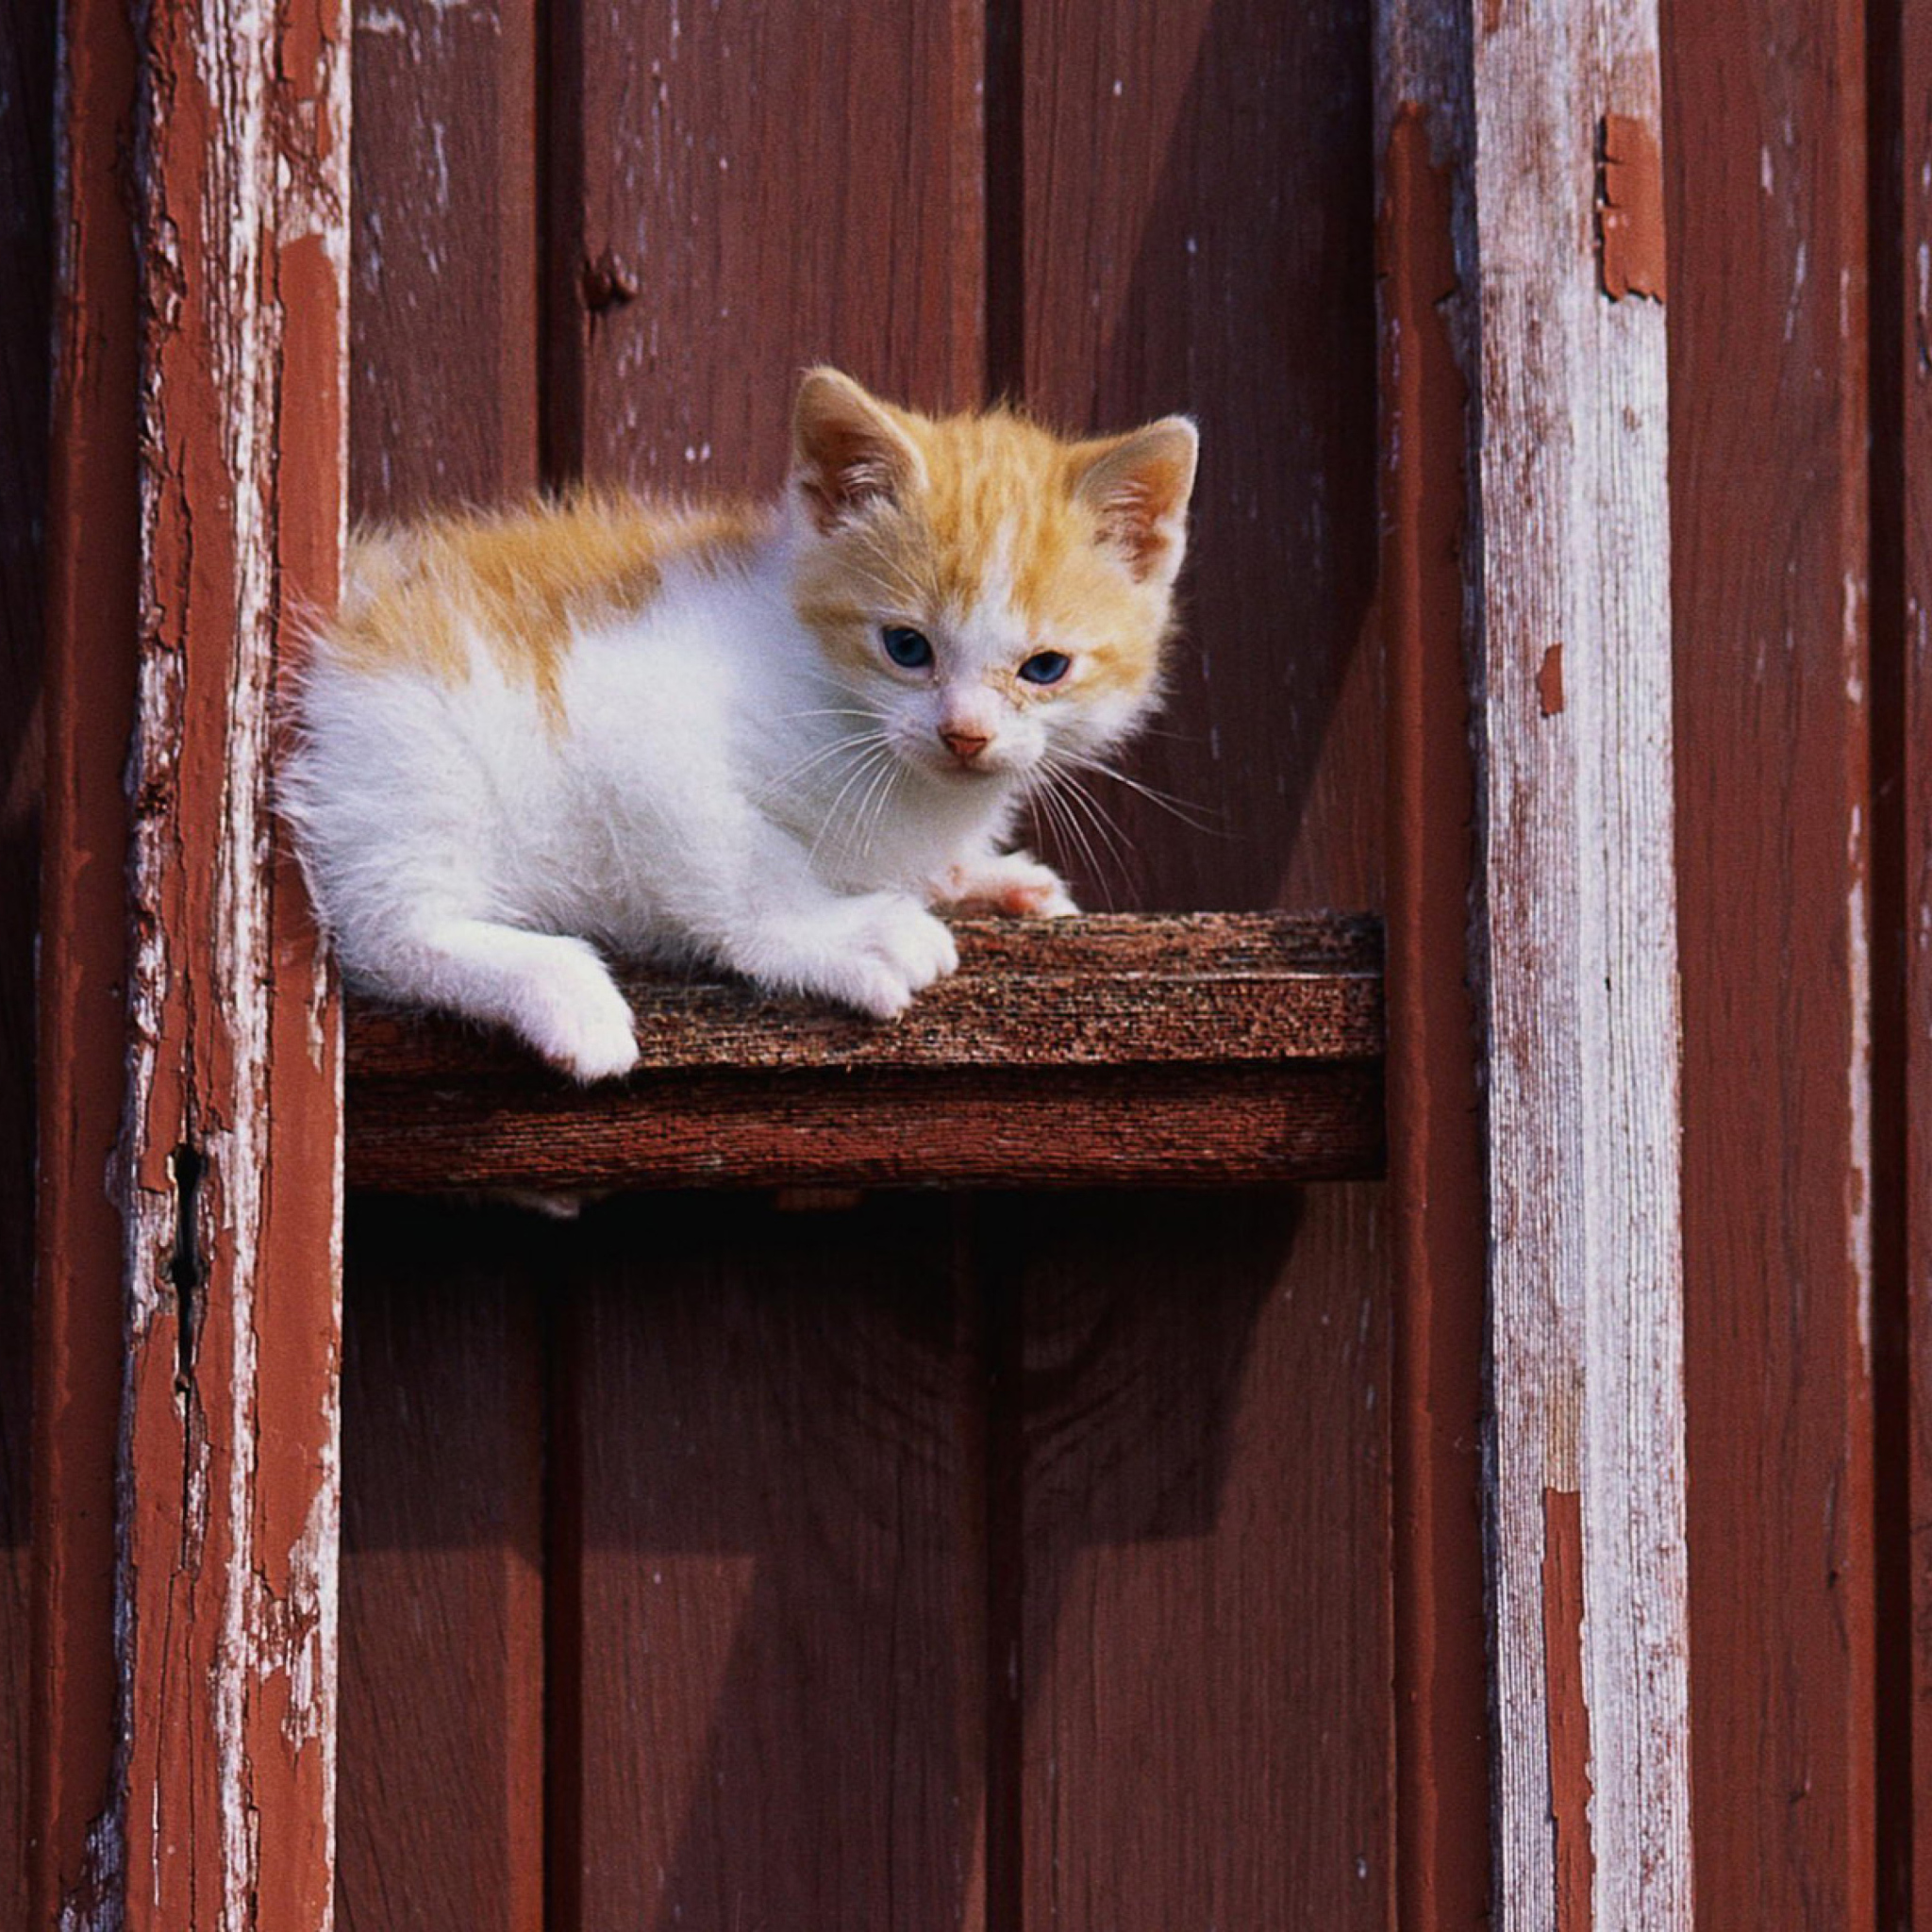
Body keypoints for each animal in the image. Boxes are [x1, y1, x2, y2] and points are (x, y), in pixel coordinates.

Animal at [282, 369, 1197, 1081]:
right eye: (906, 647)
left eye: (1045, 668)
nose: (964, 734)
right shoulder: (642, 731)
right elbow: (743, 866)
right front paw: (846, 935)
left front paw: (978, 876)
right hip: (416, 746)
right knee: (388, 928)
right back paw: (563, 988)